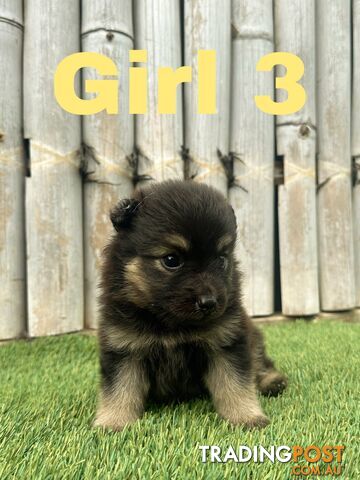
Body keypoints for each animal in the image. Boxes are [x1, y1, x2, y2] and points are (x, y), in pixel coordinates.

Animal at [95, 180, 286, 432]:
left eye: (221, 259)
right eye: (171, 260)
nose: (209, 302)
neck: (171, 324)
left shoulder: (225, 342)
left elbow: (235, 384)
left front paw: (246, 416)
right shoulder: (124, 347)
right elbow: (120, 388)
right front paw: (113, 421)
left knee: (259, 361)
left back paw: (272, 381)